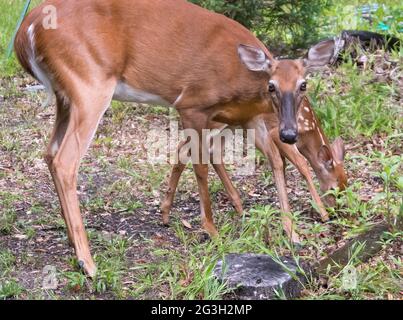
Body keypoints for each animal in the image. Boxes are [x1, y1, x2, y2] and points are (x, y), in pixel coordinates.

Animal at [15, 0, 326, 276]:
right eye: (271, 86)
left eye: (303, 85)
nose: (289, 132)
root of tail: (26, 31)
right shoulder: (192, 104)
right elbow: (200, 165)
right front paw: (211, 230)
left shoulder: (250, 119)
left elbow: (276, 162)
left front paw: (292, 232)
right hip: (89, 83)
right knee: (66, 160)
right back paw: (87, 263)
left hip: (64, 95)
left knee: (49, 152)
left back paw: (71, 240)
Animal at [163, 96, 348, 241]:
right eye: (333, 189)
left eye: (345, 188)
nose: (336, 212)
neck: (307, 129)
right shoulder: (275, 131)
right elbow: (301, 164)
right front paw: (322, 214)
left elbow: (282, 164)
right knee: (189, 148)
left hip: (232, 124)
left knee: (203, 150)